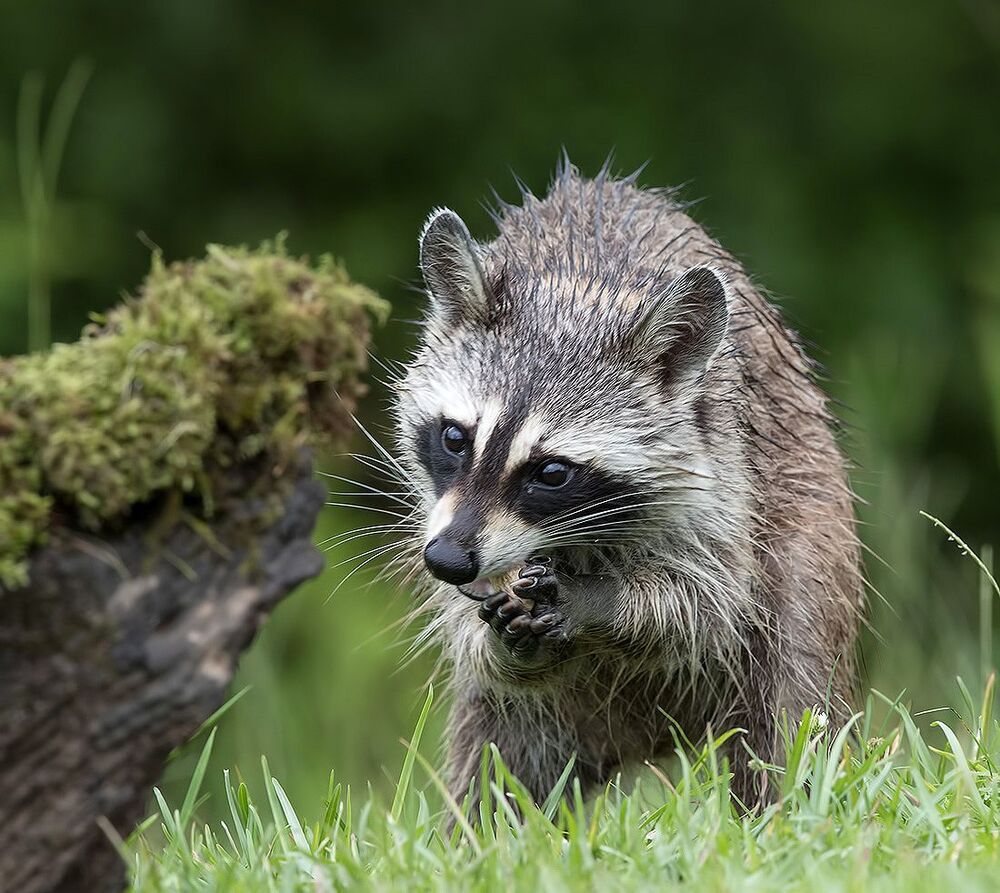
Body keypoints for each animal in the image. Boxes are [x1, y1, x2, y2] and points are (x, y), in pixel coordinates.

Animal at [391, 159, 862, 807]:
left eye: (551, 472)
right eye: (456, 438)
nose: (446, 560)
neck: (574, 292)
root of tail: (648, 737)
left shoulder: (724, 474)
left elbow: (709, 605)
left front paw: (601, 598)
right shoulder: (436, 509)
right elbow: (473, 640)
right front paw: (497, 634)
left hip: (811, 551)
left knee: (789, 705)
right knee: (497, 761)